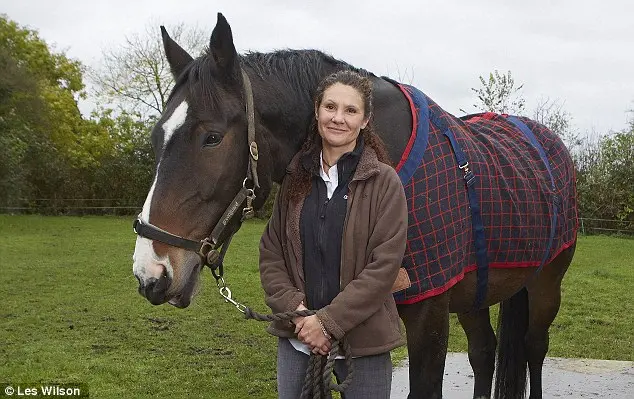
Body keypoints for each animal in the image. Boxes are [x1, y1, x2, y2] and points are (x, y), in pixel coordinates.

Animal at [131, 12, 576, 399]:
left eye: (212, 137)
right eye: (156, 137)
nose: (151, 274)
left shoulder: (429, 316)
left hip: (546, 283)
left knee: (534, 347)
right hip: (475, 294)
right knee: (484, 352)